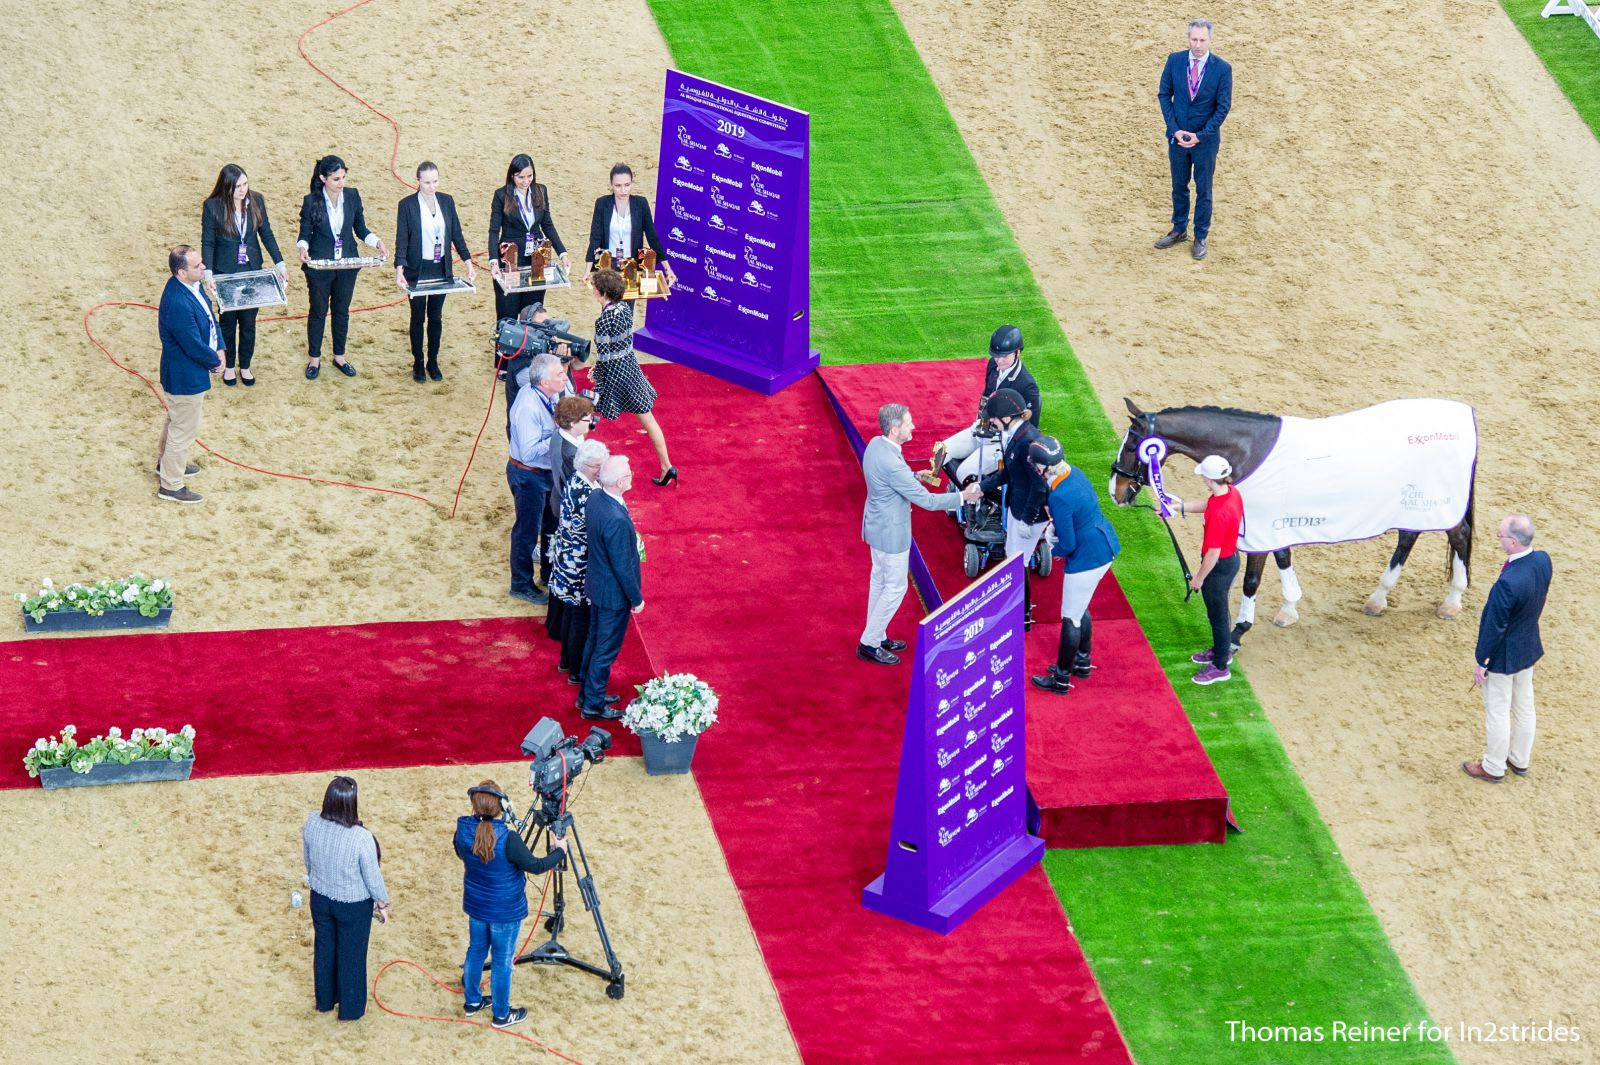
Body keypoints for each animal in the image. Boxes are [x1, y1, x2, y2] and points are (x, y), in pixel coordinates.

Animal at [1113, 398, 1472, 646]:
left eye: (1132, 445)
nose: (1115, 491)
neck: (1248, 450)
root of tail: (1463, 415)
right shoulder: (1273, 522)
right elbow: (1284, 557)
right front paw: (1289, 609)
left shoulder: (1258, 526)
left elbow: (1252, 580)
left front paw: (1238, 632)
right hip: (1411, 504)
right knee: (1409, 537)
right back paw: (1378, 599)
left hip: (1438, 504)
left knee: (1459, 536)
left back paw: (1452, 602)